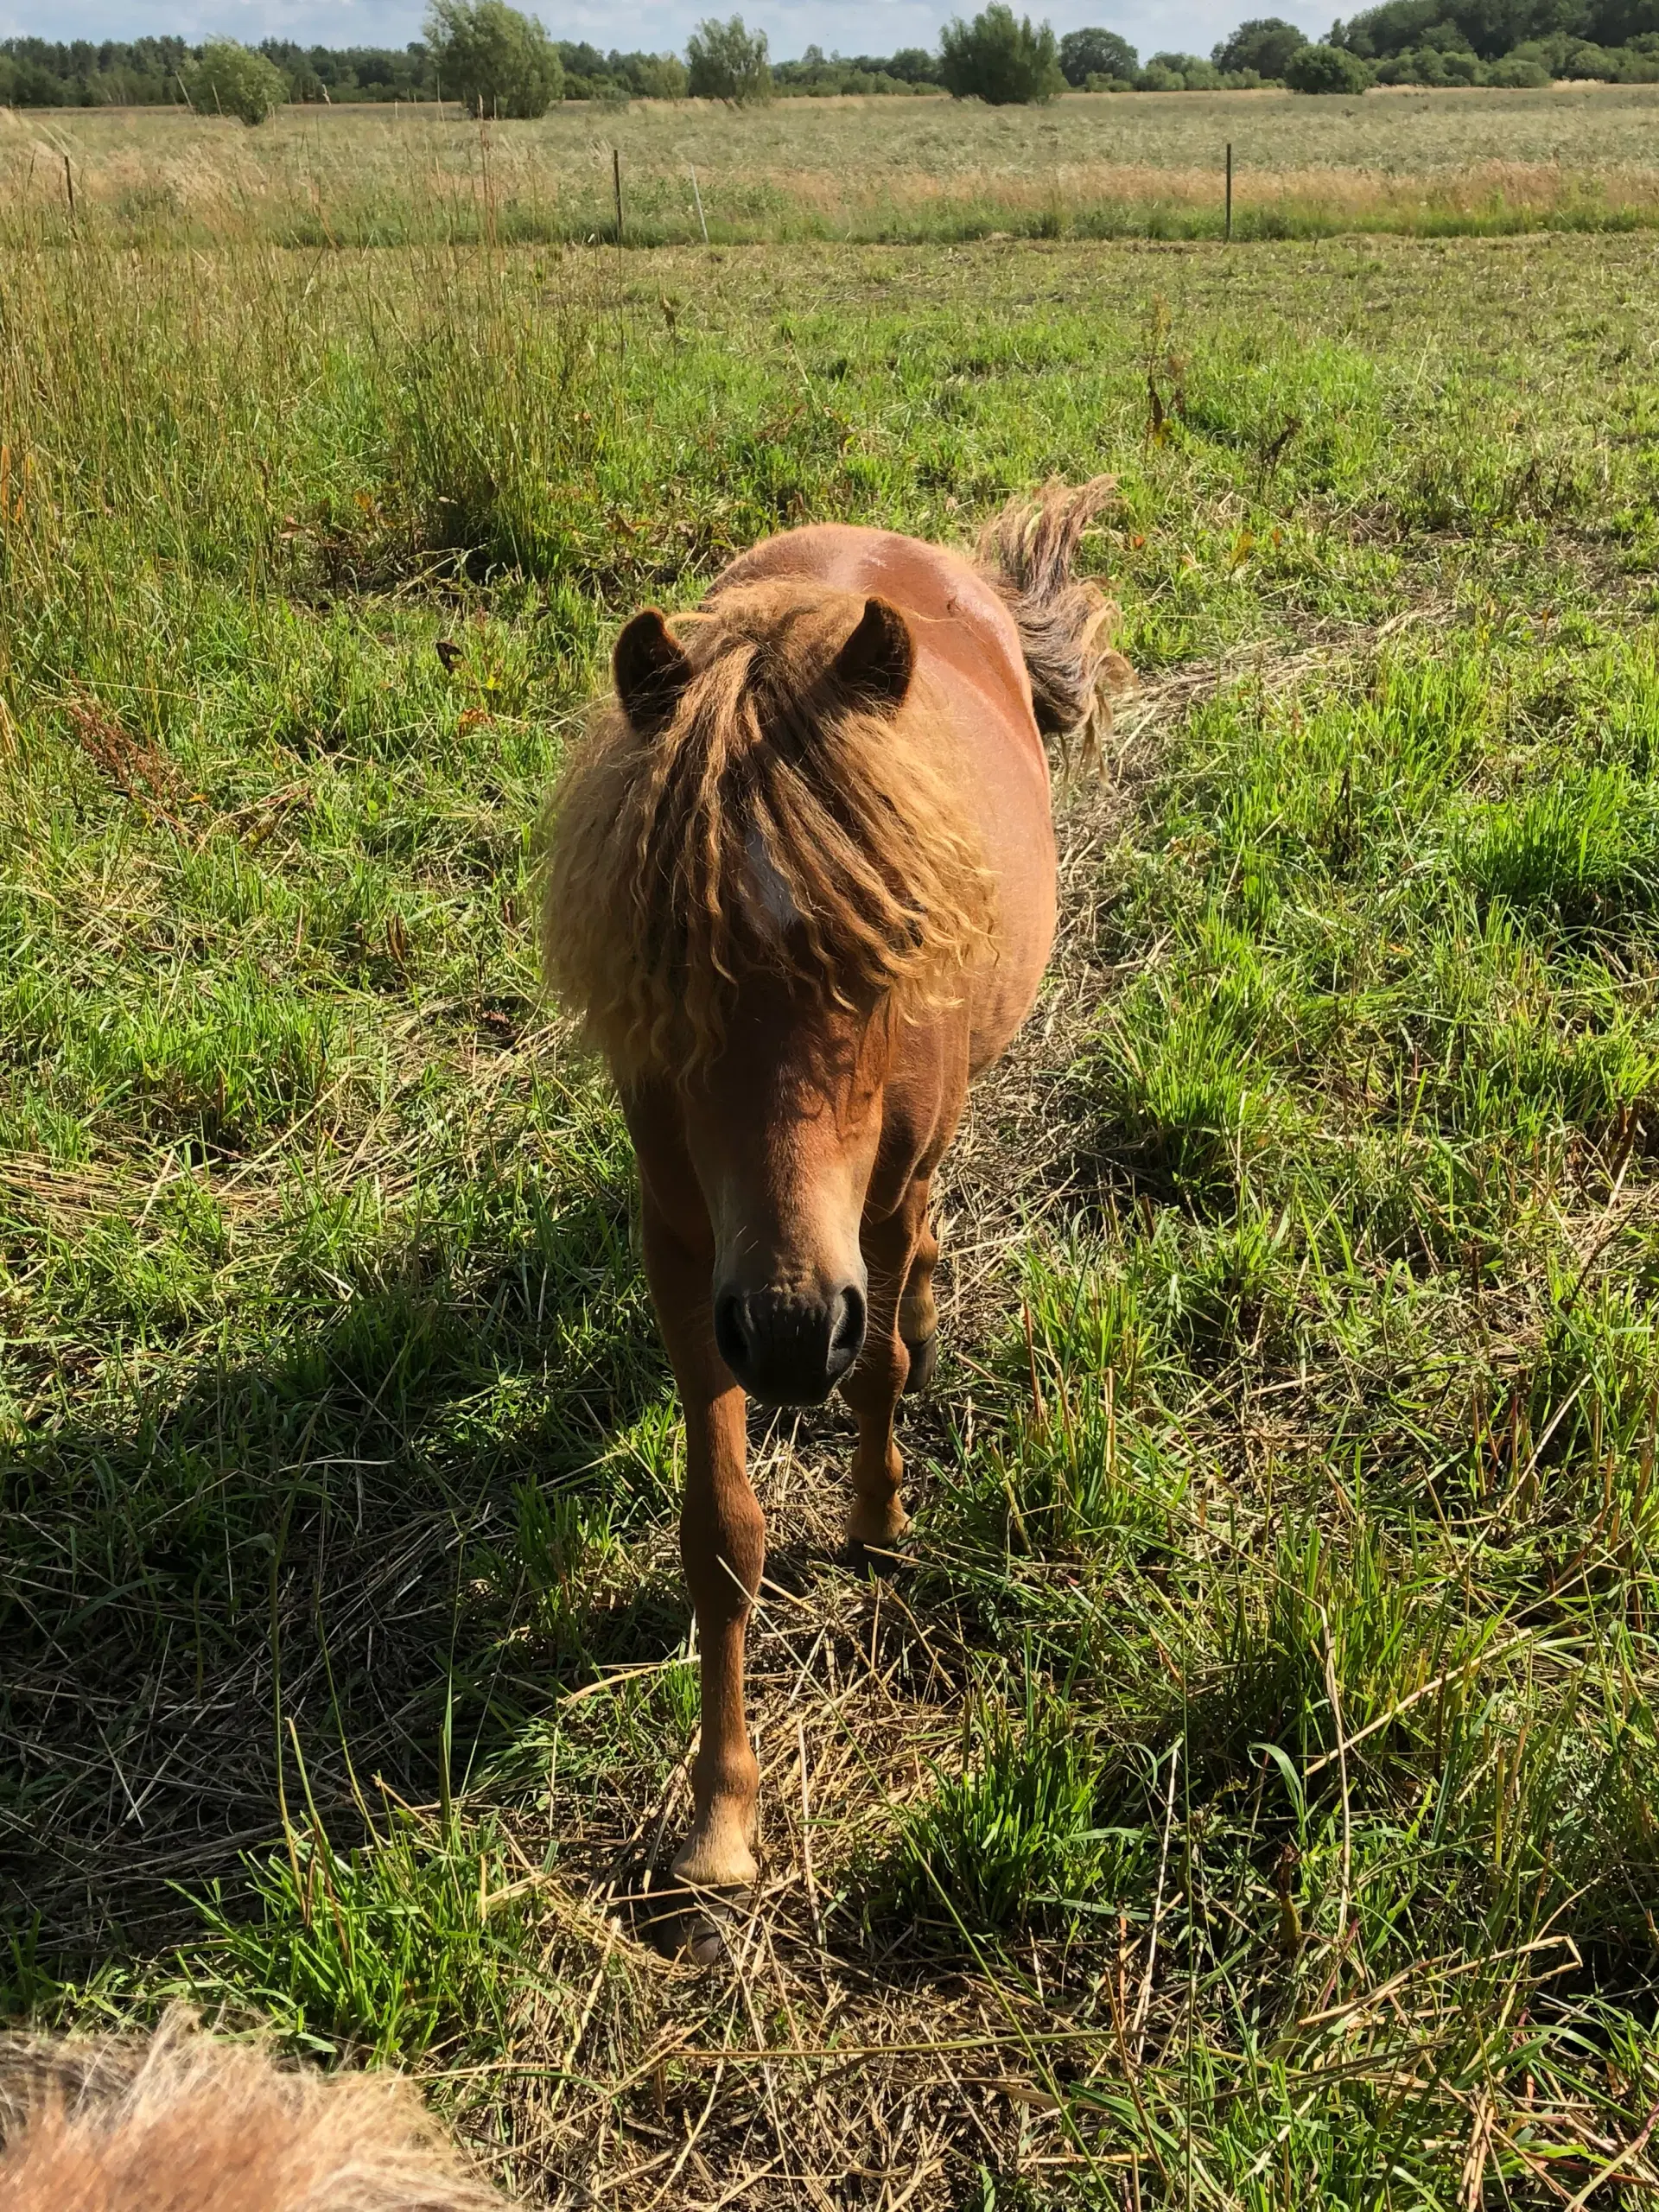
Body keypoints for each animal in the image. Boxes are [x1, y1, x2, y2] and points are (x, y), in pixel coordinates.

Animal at [546, 480, 1132, 1902]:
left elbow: (877, 1377)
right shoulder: (682, 1252)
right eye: (672, 976)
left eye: (879, 963)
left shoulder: (870, 1205)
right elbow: (720, 1535)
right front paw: (721, 1816)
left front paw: (876, 1523)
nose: (789, 1332)